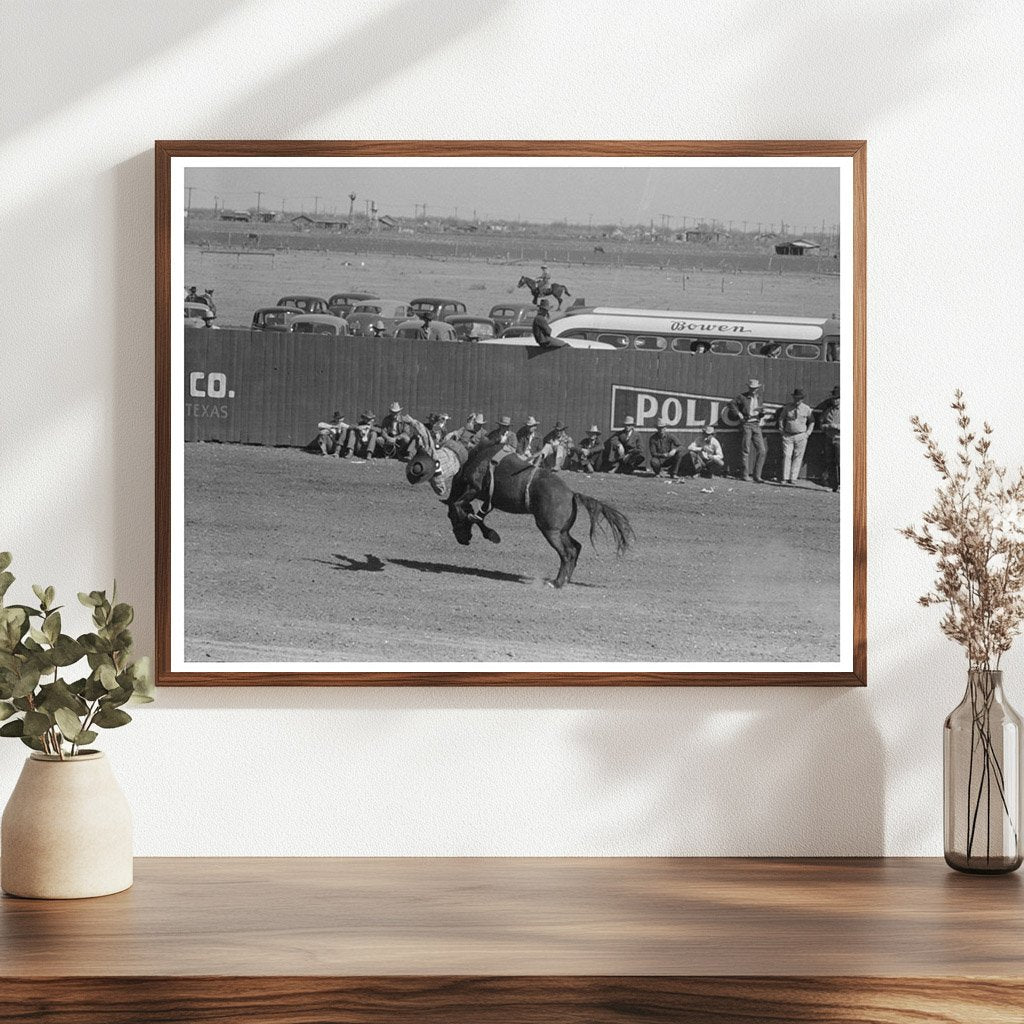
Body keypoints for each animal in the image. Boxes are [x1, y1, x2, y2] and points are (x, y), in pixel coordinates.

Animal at [405, 438, 630, 589]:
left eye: (451, 519)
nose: (463, 540)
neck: (477, 459)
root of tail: (572, 494)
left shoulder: (474, 488)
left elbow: (459, 505)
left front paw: (476, 523)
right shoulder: (487, 499)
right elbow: (479, 516)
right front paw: (490, 533)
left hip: (550, 531)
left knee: (567, 553)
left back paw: (556, 583)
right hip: (562, 531)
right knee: (576, 548)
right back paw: (565, 580)